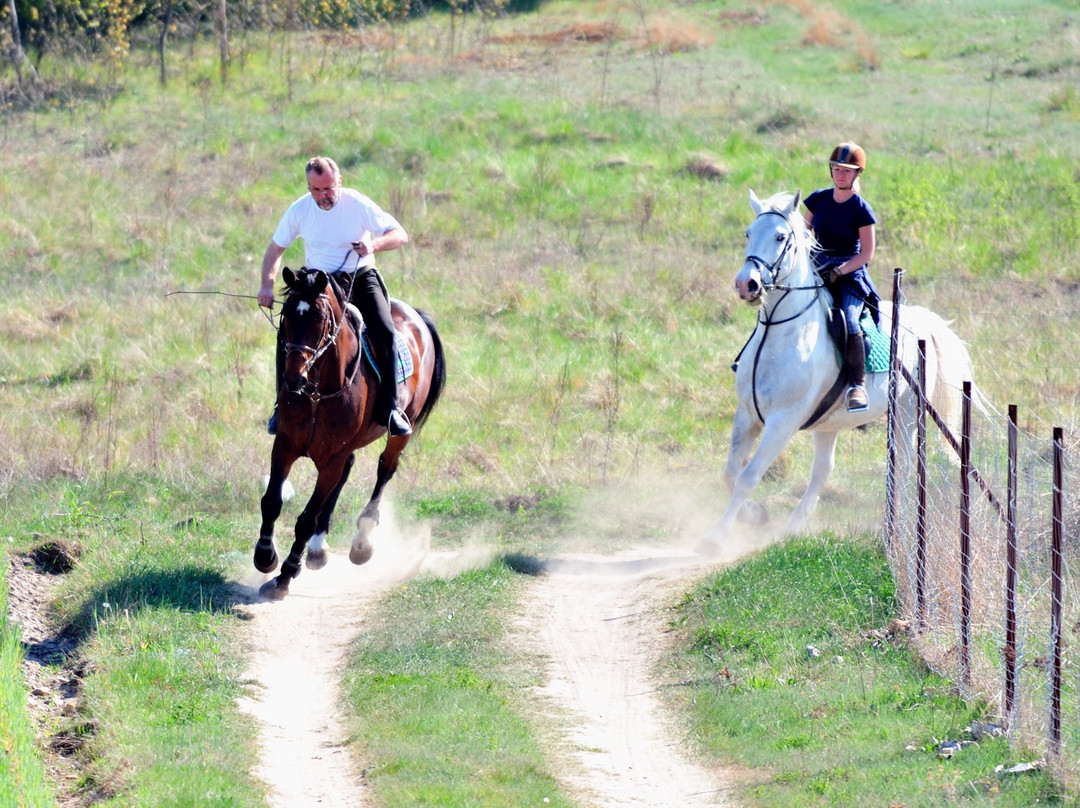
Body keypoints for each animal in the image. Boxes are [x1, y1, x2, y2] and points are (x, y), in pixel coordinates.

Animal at [254, 266, 444, 600]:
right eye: (286, 314)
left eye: (319, 318)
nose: (293, 377)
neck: (317, 392)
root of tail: (415, 314)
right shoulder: (285, 445)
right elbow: (272, 502)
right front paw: (265, 555)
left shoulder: (331, 458)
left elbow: (306, 518)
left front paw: (285, 575)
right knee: (348, 470)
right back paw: (318, 550)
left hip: (400, 431)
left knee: (385, 469)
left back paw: (362, 542)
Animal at [695, 190, 976, 557]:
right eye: (747, 233)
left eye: (780, 237)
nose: (747, 284)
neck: (778, 333)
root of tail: (920, 320)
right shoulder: (747, 415)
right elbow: (729, 473)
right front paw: (754, 515)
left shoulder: (782, 421)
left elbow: (747, 477)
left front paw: (715, 538)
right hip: (828, 423)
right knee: (822, 471)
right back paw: (792, 528)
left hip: (904, 415)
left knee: (900, 466)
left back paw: (896, 526)